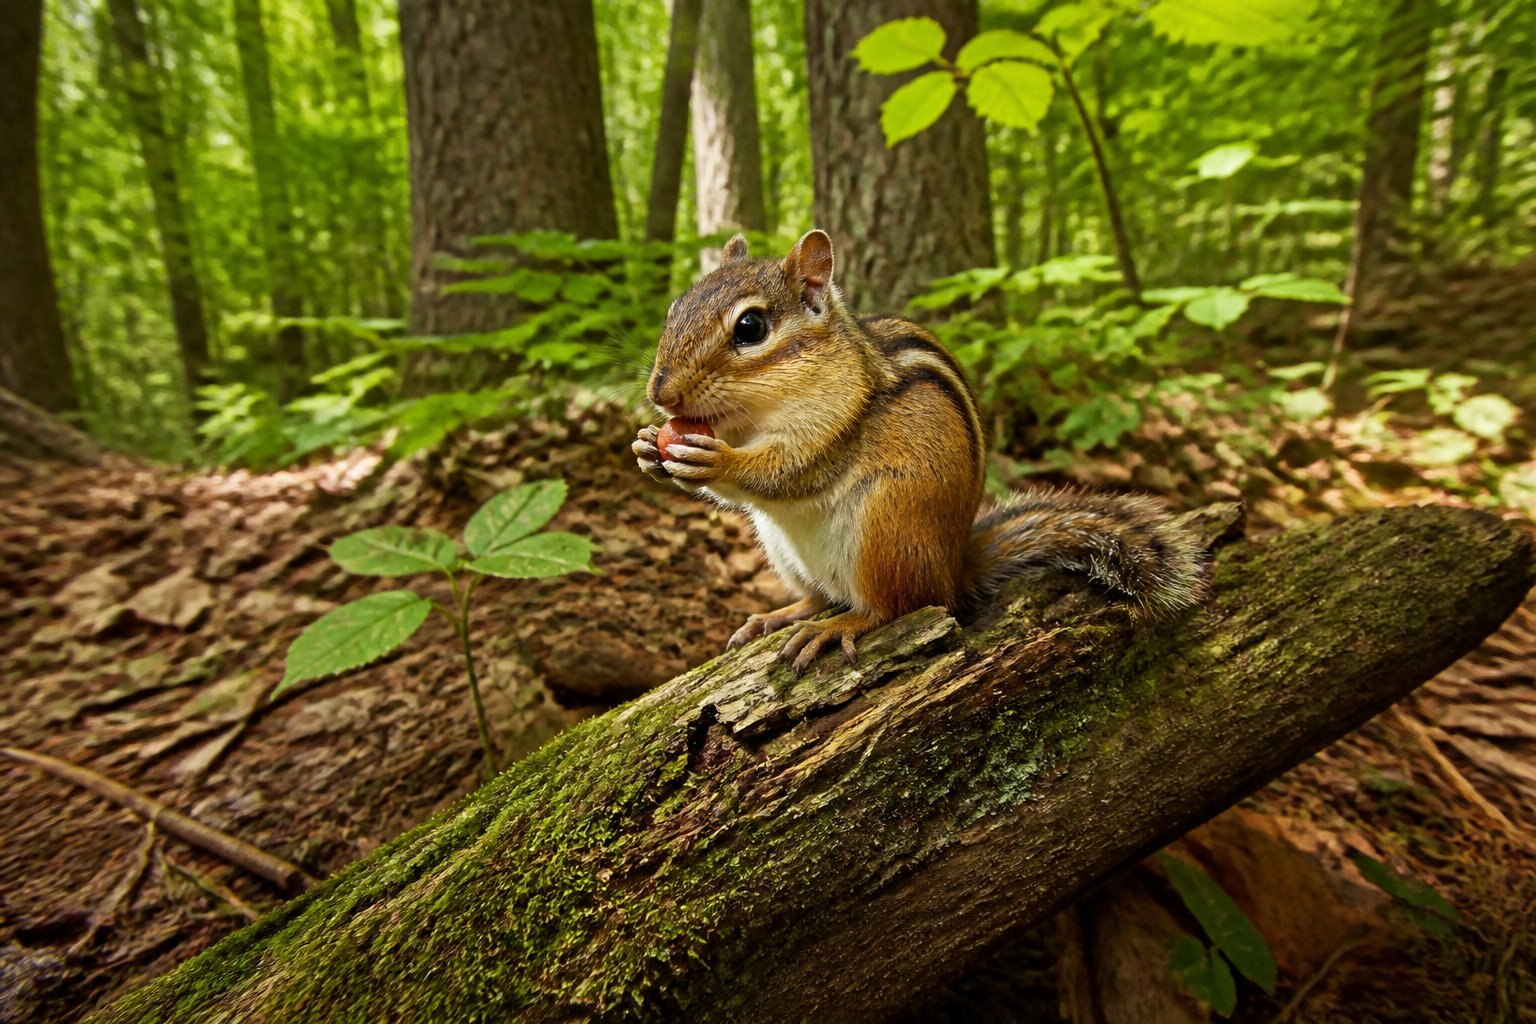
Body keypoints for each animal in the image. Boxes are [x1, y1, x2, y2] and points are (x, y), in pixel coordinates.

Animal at [632, 229, 1210, 673]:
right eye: (675, 307)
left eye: (750, 328)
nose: (661, 393)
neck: (755, 416)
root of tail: (954, 568)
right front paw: (646, 448)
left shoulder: (837, 423)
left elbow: (788, 471)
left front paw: (719, 461)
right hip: (781, 548)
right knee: (818, 595)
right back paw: (778, 615)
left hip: (885, 526)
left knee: (898, 605)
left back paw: (841, 624)